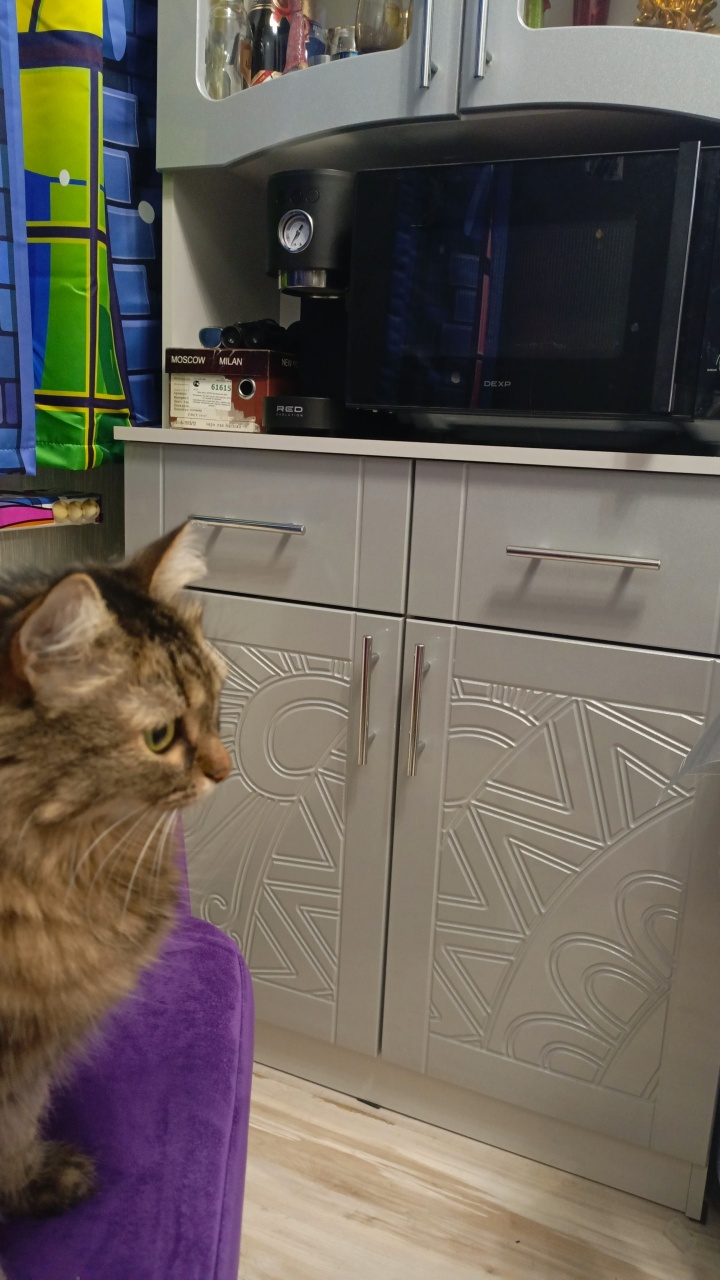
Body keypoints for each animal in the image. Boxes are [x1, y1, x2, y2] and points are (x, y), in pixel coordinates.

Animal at [0, 524, 229, 1276]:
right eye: (160, 737)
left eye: (215, 703)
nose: (226, 769)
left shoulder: (33, 1056)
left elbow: (15, 1135)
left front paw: (33, 1183)